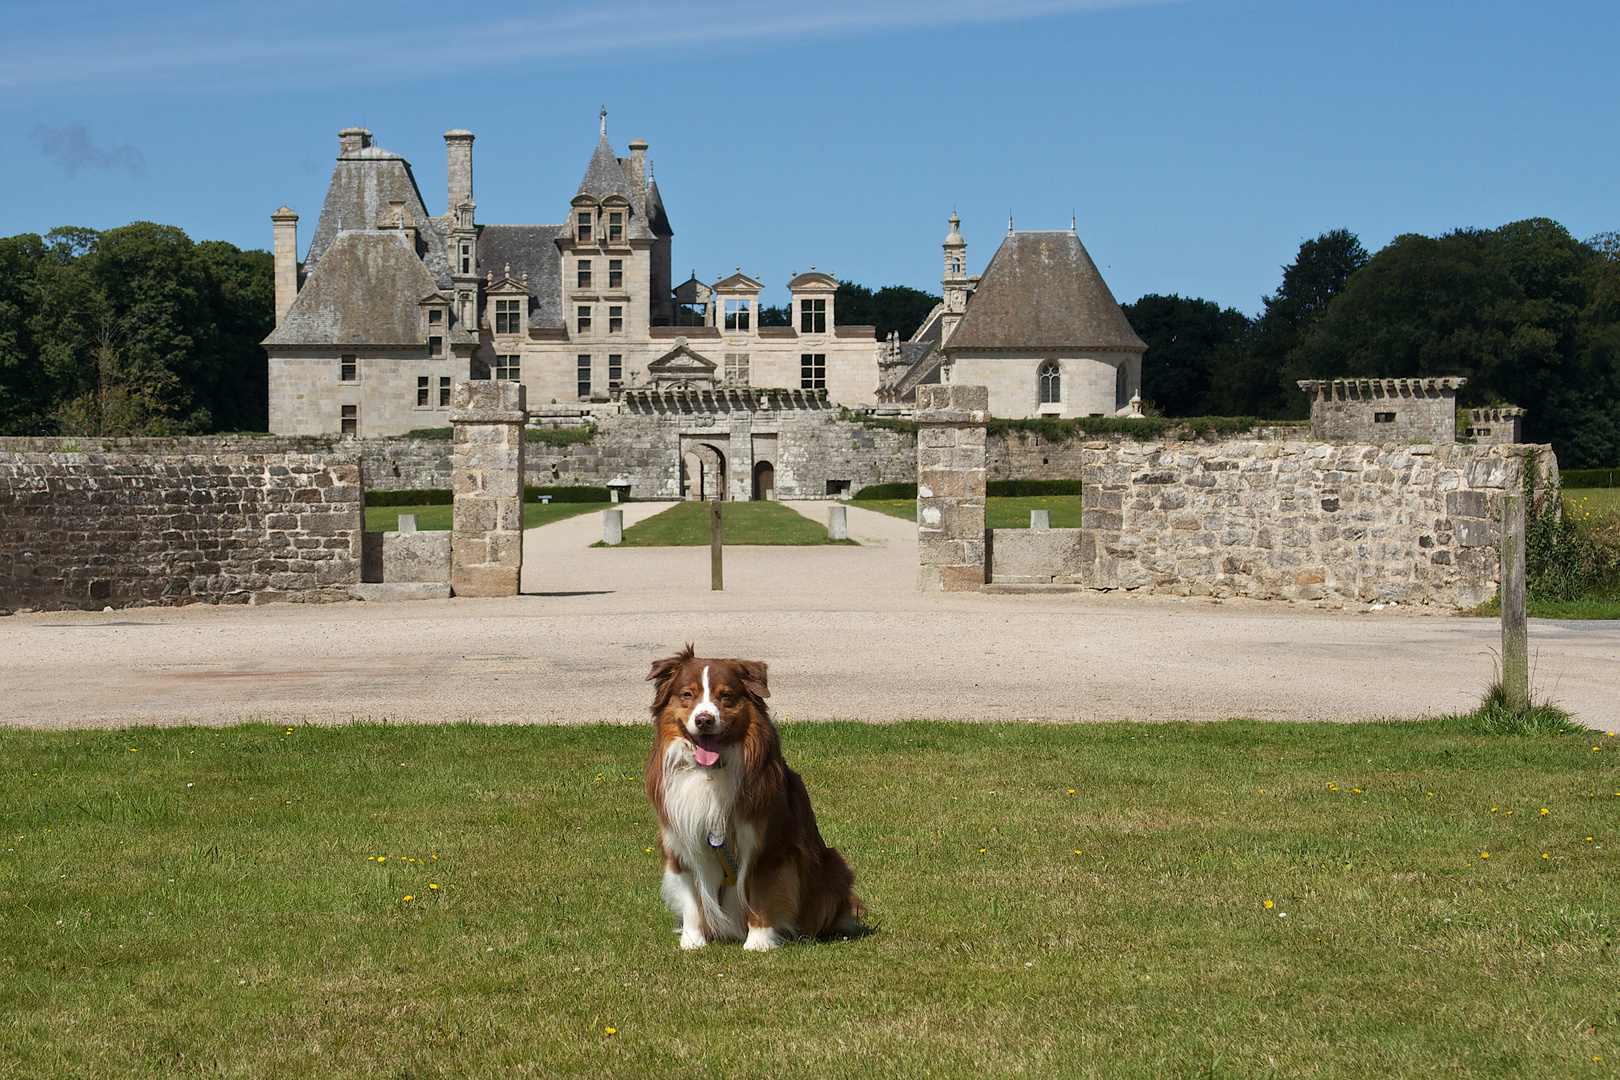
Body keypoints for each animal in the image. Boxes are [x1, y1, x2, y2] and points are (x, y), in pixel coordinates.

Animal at [641, 647, 868, 952]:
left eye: (726, 695)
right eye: (687, 694)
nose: (704, 720)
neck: (711, 771)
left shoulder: (769, 844)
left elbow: (763, 892)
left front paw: (759, 942)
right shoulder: (681, 842)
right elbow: (691, 895)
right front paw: (693, 941)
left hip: (833, 868)